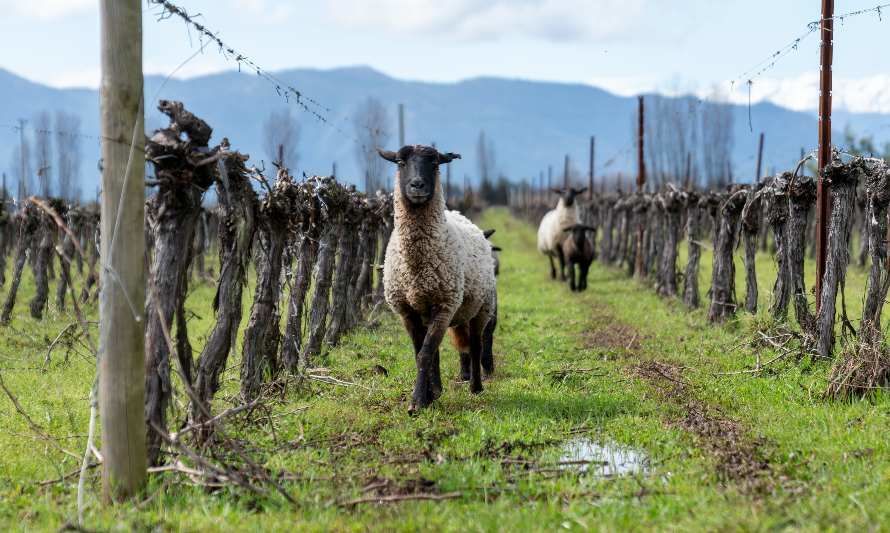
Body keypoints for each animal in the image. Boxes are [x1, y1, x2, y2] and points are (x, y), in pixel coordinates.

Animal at [376, 144, 496, 412]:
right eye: (400, 162)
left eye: (435, 164)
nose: (417, 185)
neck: (417, 268)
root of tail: (459, 215)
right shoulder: (407, 311)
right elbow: (421, 352)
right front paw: (429, 396)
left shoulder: (444, 306)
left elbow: (425, 353)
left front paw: (418, 402)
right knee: (438, 350)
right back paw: (438, 389)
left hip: (480, 307)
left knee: (475, 345)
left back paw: (476, 387)